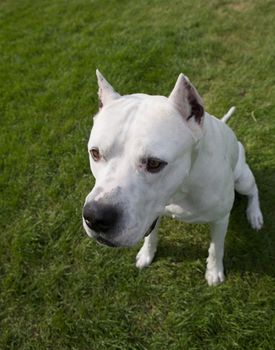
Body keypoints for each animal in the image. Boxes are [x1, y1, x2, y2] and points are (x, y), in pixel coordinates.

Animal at [83, 69, 264, 286]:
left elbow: (216, 248)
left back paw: (254, 214)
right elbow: (151, 236)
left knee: (254, 190)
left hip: (242, 178)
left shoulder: (221, 219)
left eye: (154, 163)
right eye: (95, 153)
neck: (181, 189)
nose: (95, 217)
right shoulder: (154, 213)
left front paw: (214, 271)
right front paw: (147, 254)